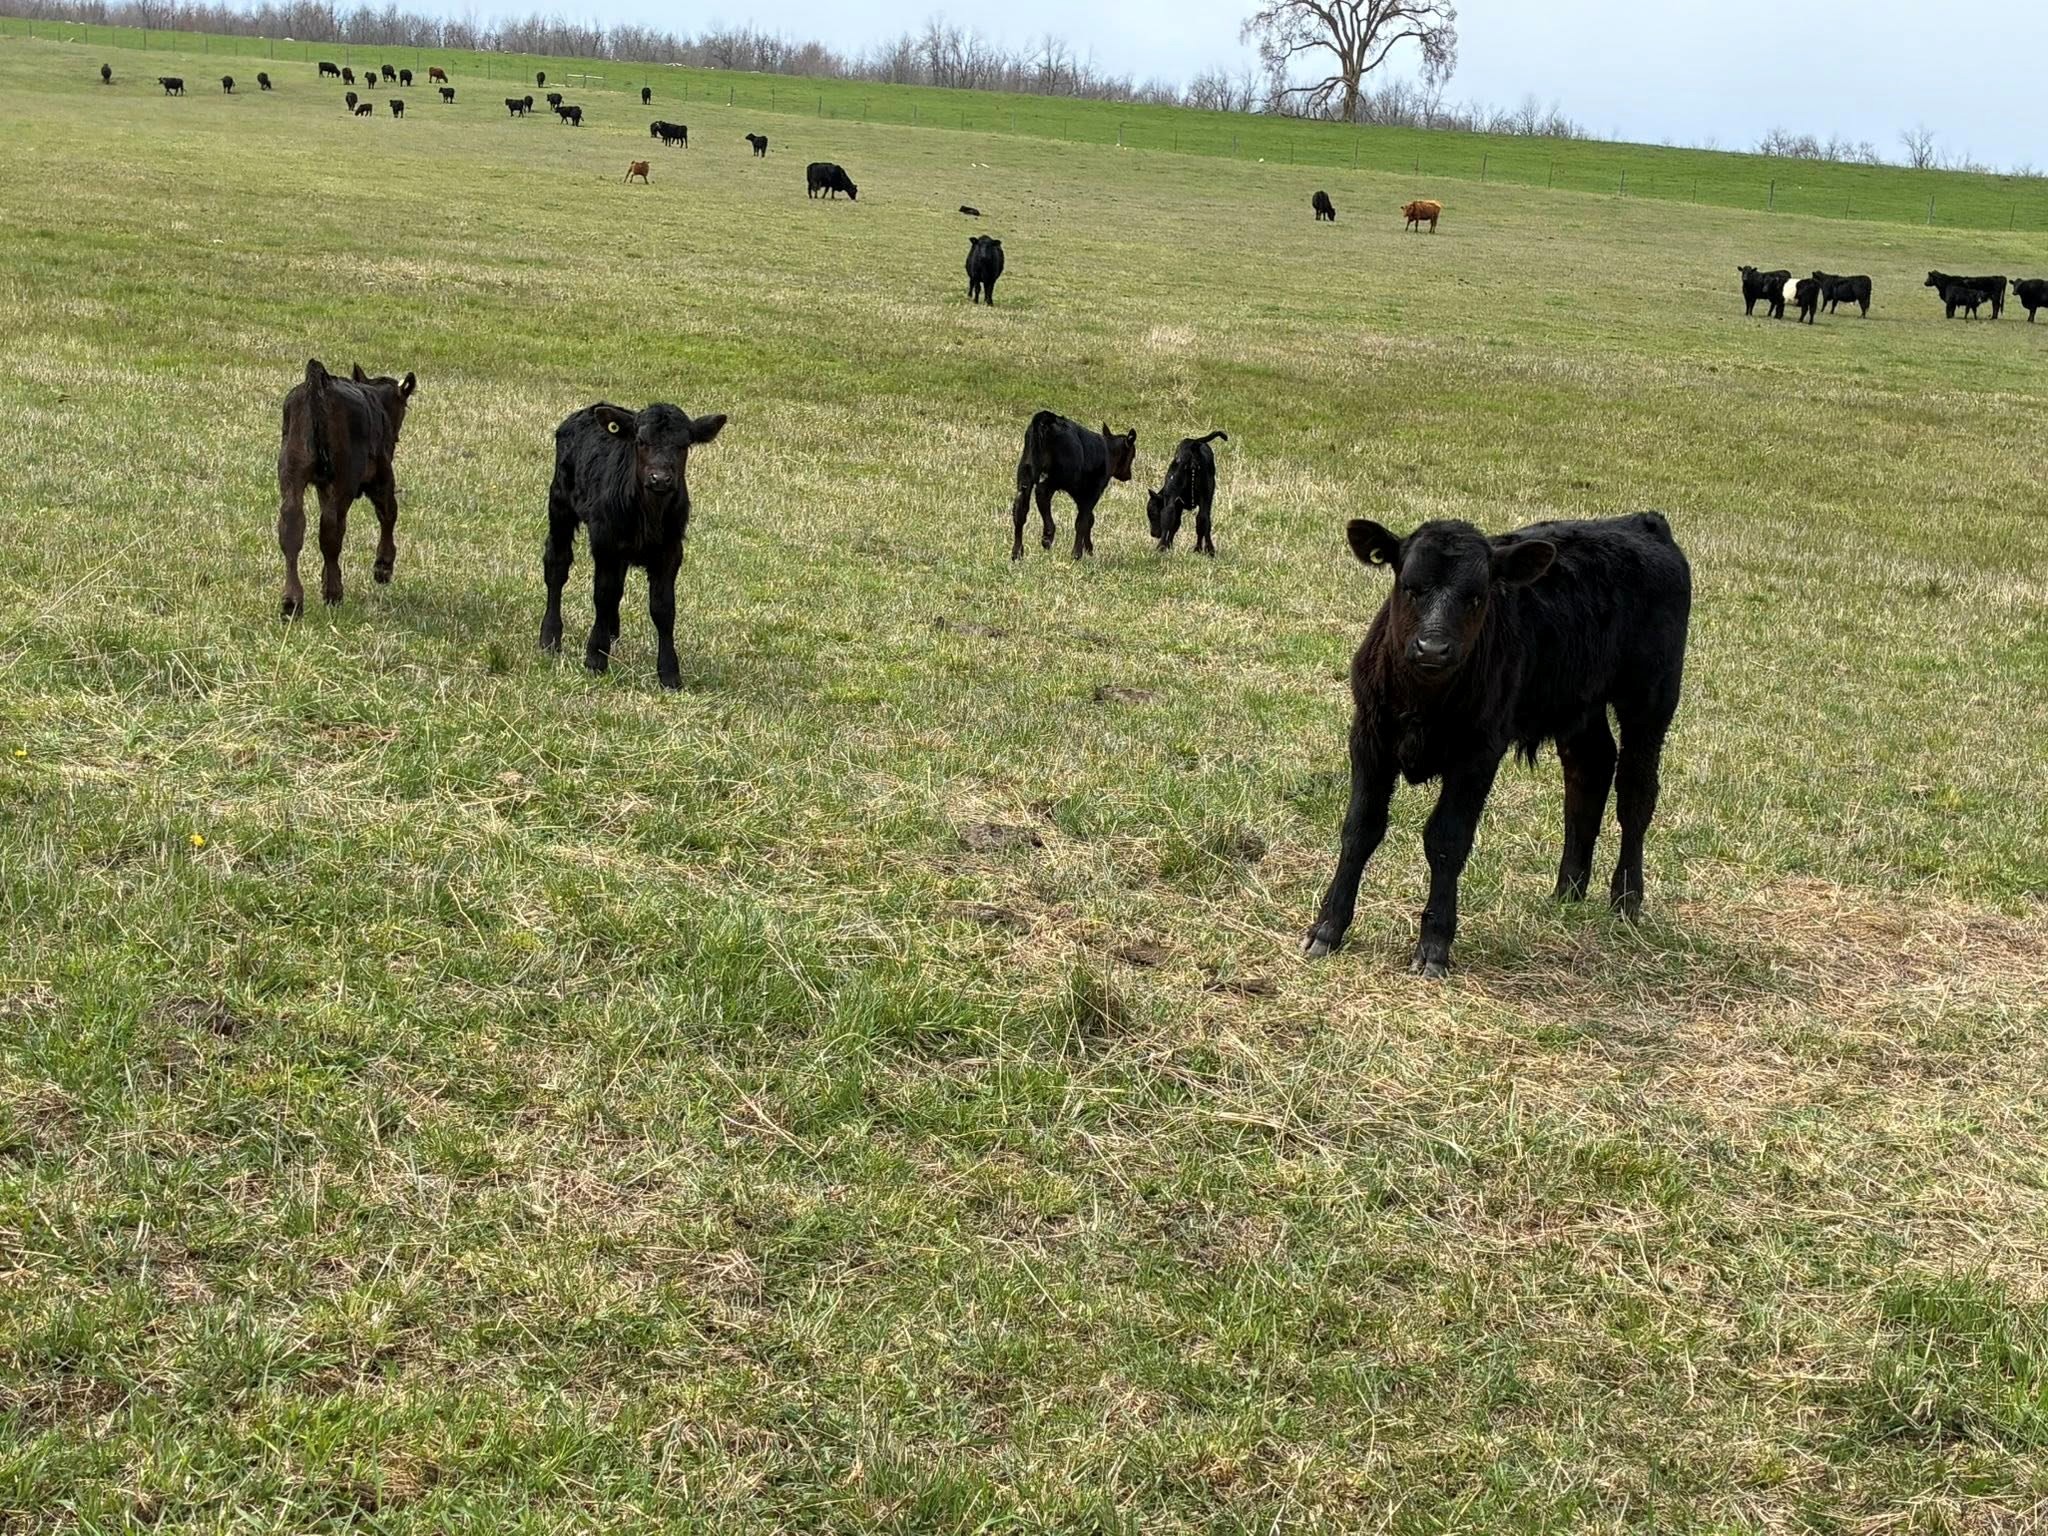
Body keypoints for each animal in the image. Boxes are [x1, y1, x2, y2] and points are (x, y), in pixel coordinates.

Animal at [275, 359, 418, 620]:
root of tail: (318, 384)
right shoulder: (382, 477)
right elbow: (389, 513)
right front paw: (383, 567)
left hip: (292, 473)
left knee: (291, 526)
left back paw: (292, 602)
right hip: (343, 480)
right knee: (332, 529)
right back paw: (333, 593)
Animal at [540, 402, 728, 690]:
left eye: (684, 445)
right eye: (640, 441)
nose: (660, 478)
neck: (649, 514)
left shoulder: (671, 551)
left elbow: (663, 607)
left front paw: (670, 674)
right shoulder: (604, 541)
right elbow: (603, 594)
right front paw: (595, 658)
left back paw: (612, 633)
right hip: (559, 502)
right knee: (557, 564)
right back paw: (550, 637)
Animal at [1006, 412, 1136, 561]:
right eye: (1132, 455)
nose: (1128, 475)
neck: (1109, 451)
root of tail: (1045, 418)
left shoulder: (1080, 495)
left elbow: (1089, 518)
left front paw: (1088, 549)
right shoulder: (1093, 490)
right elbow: (1083, 521)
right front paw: (1078, 553)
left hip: (1026, 470)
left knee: (1020, 508)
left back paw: (1017, 552)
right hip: (1059, 475)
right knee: (1042, 493)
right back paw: (1049, 537)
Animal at [1303, 512, 1691, 978]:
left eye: (1476, 597)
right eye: (1410, 586)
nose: (1433, 648)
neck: (1423, 702)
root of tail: (1640, 522)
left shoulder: (1479, 753)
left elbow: (1447, 840)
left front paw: (1434, 945)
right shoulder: (1369, 736)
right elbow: (1361, 828)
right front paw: (1328, 928)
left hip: (1651, 698)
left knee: (1636, 792)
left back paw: (1627, 900)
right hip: (1578, 703)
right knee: (1589, 771)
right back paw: (1567, 891)